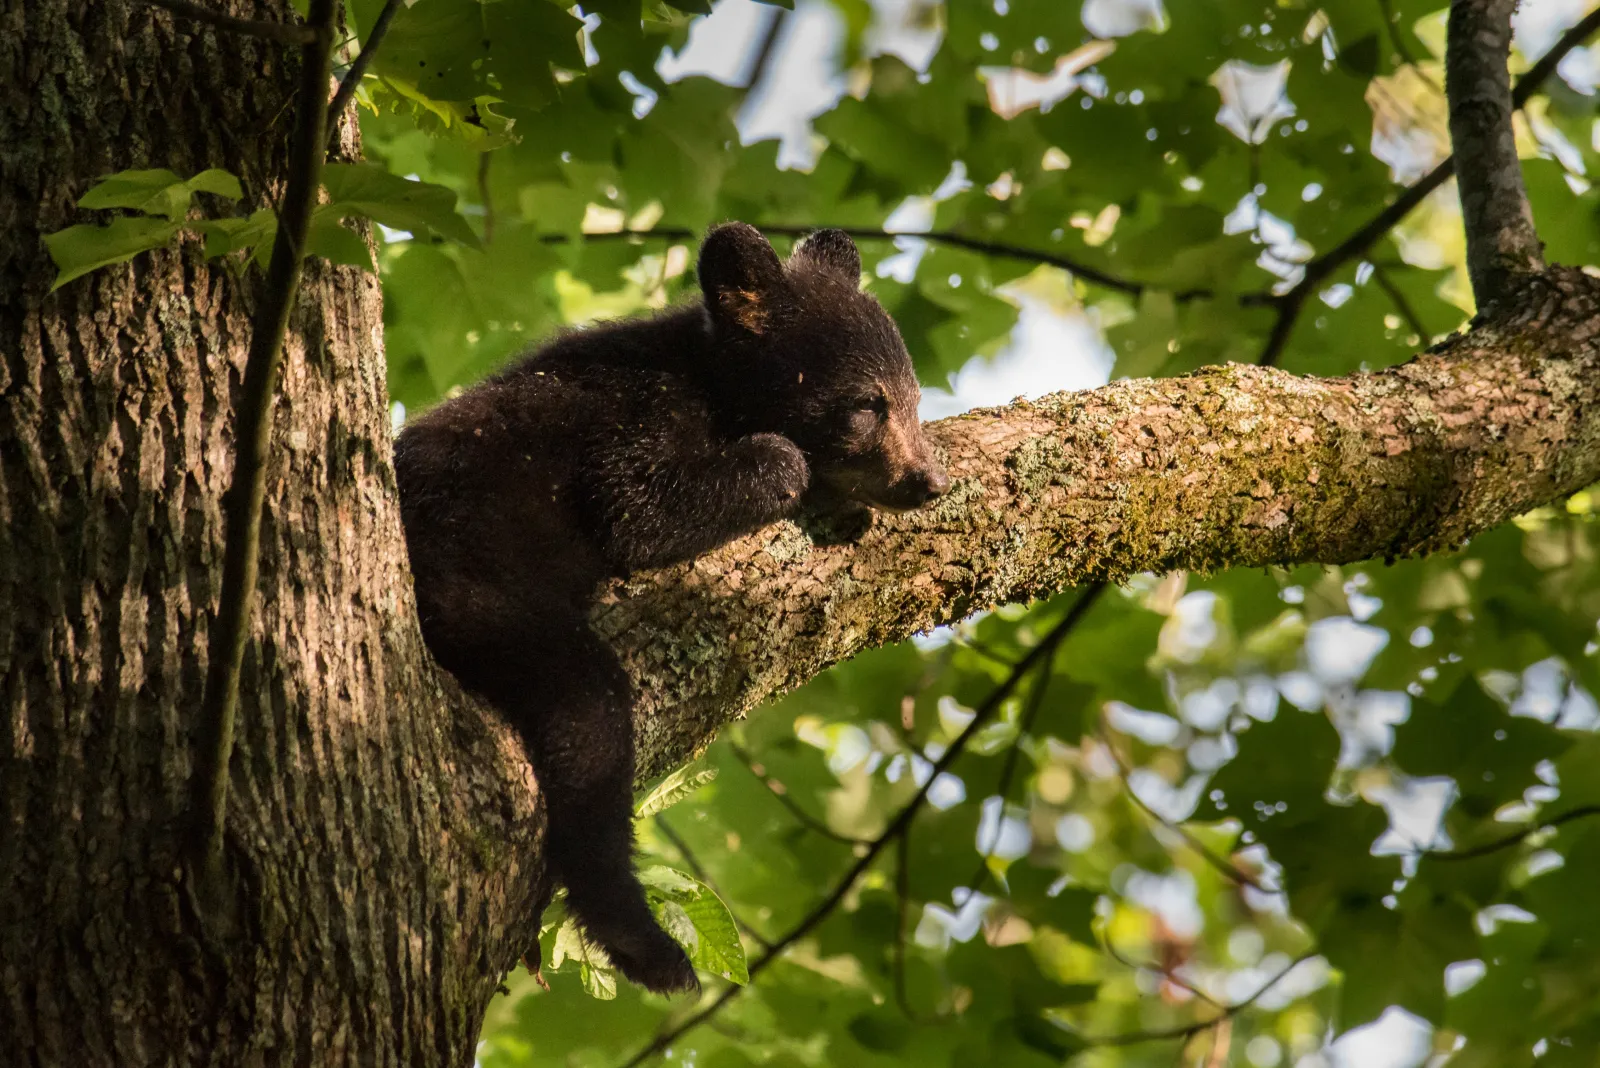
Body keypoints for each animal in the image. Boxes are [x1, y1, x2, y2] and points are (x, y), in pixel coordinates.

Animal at [392, 223, 951, 994]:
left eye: (916, 397)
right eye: (869, 404)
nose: (928, 480)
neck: (708, 381)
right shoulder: (634, 413)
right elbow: (639, 505)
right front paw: (795, 471)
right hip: (479, 587)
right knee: (590, 726)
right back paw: (647, 946)